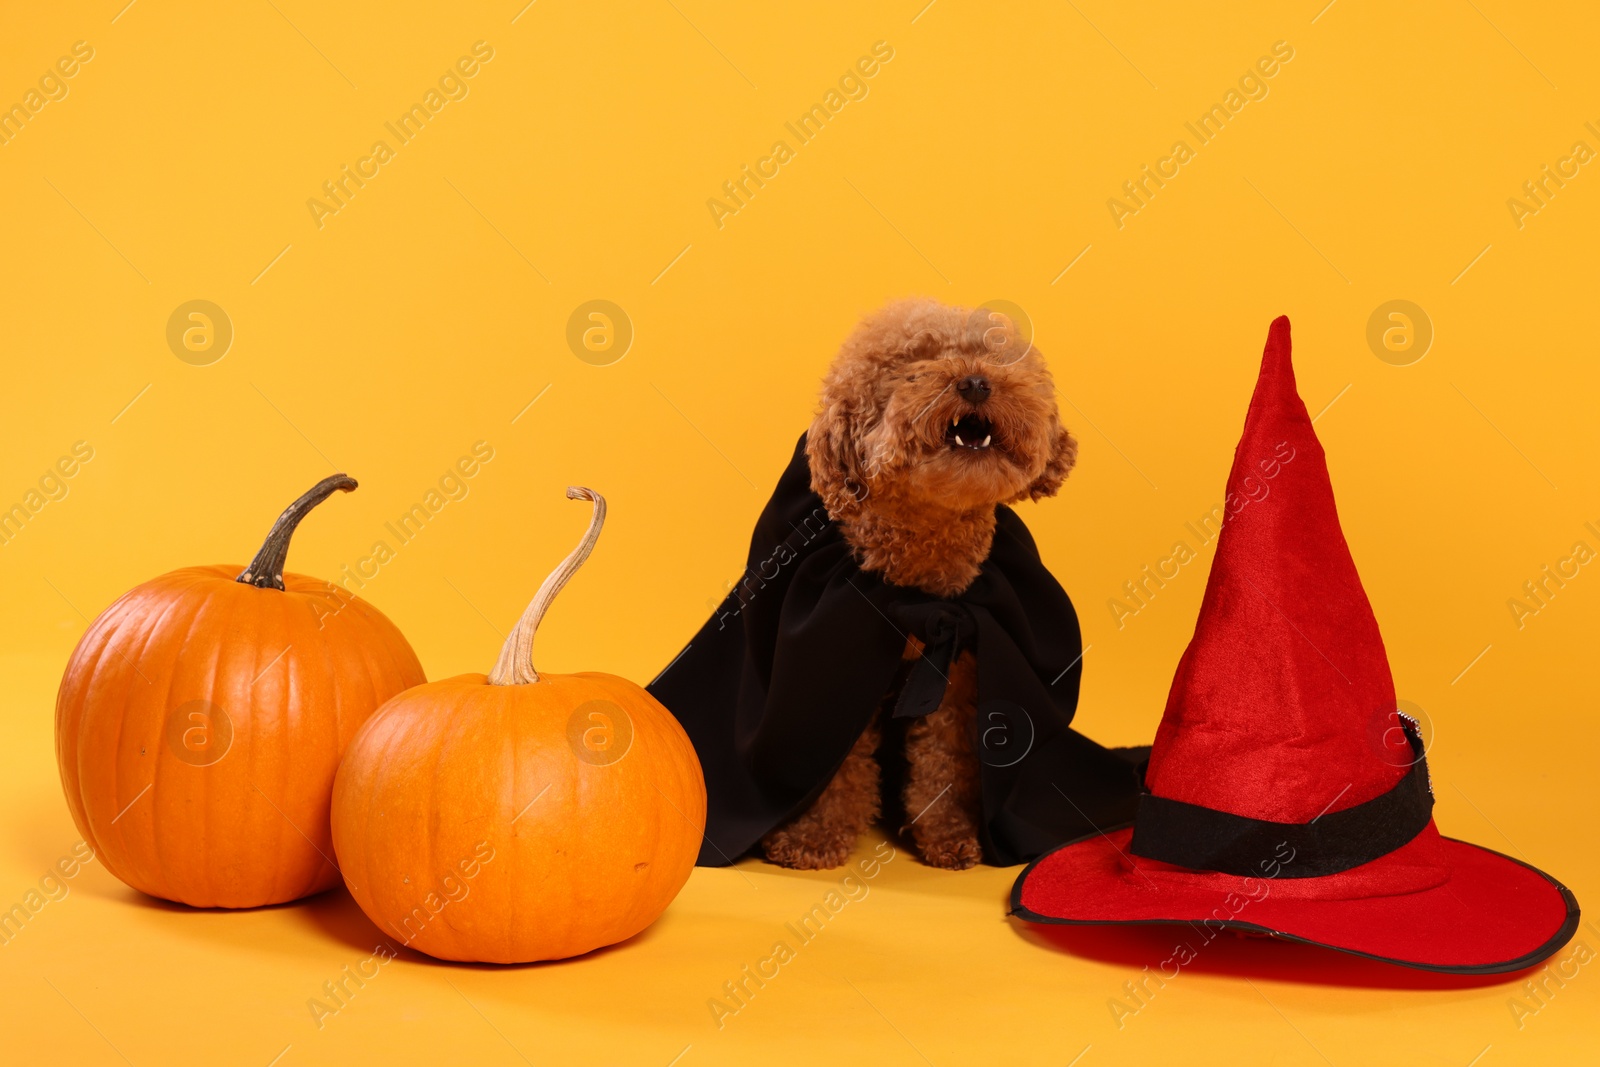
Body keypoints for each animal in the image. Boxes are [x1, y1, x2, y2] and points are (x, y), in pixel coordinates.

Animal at [758, 295, 1081, 870]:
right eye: (911, 368)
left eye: (995, 357)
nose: (975, 382)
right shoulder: (839, 663)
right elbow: (835, 760)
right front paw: (814, 837)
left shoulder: (958, 677)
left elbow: (945, 760)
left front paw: (948, 834)